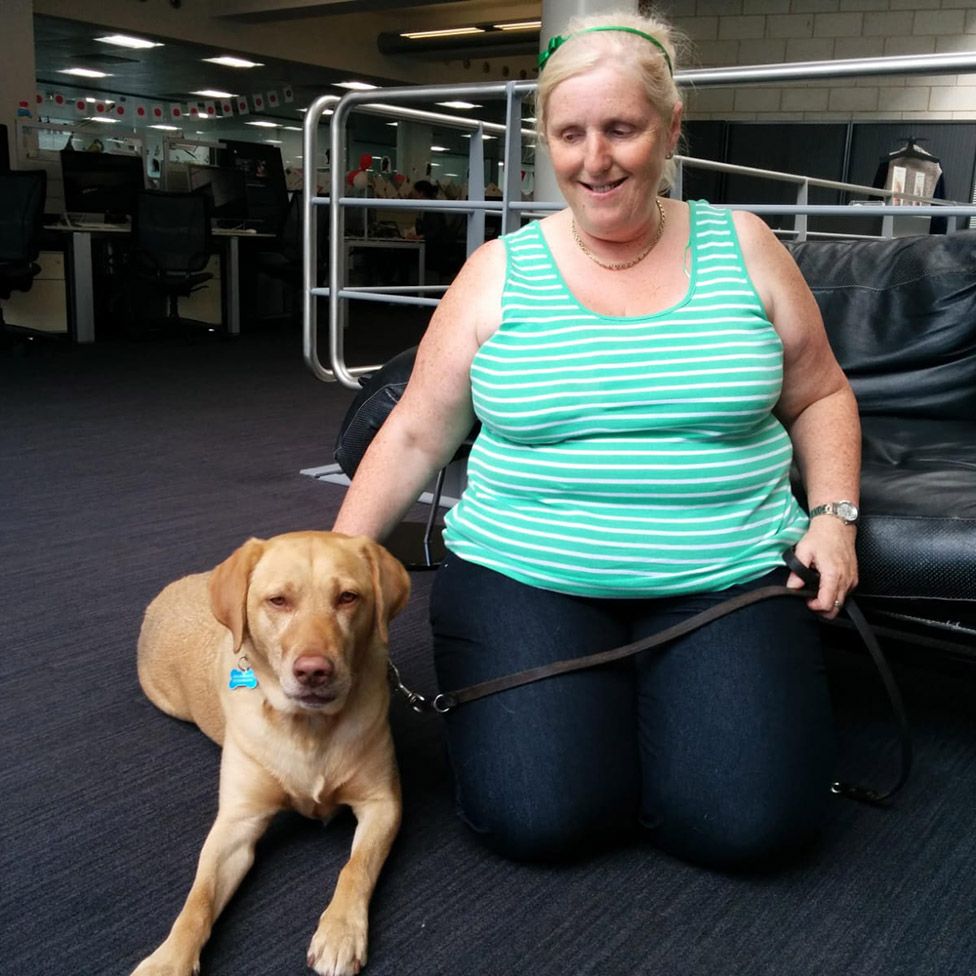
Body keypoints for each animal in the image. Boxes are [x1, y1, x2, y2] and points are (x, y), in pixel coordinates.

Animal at [129, 532, 408, 976]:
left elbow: (356, 868)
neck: (309, 727)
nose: (314, 671)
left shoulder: (382, 803)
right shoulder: (237, 824)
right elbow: (198, 899)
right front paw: (168, 960)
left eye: (348, 597)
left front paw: (340, 933)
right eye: (278, 601)